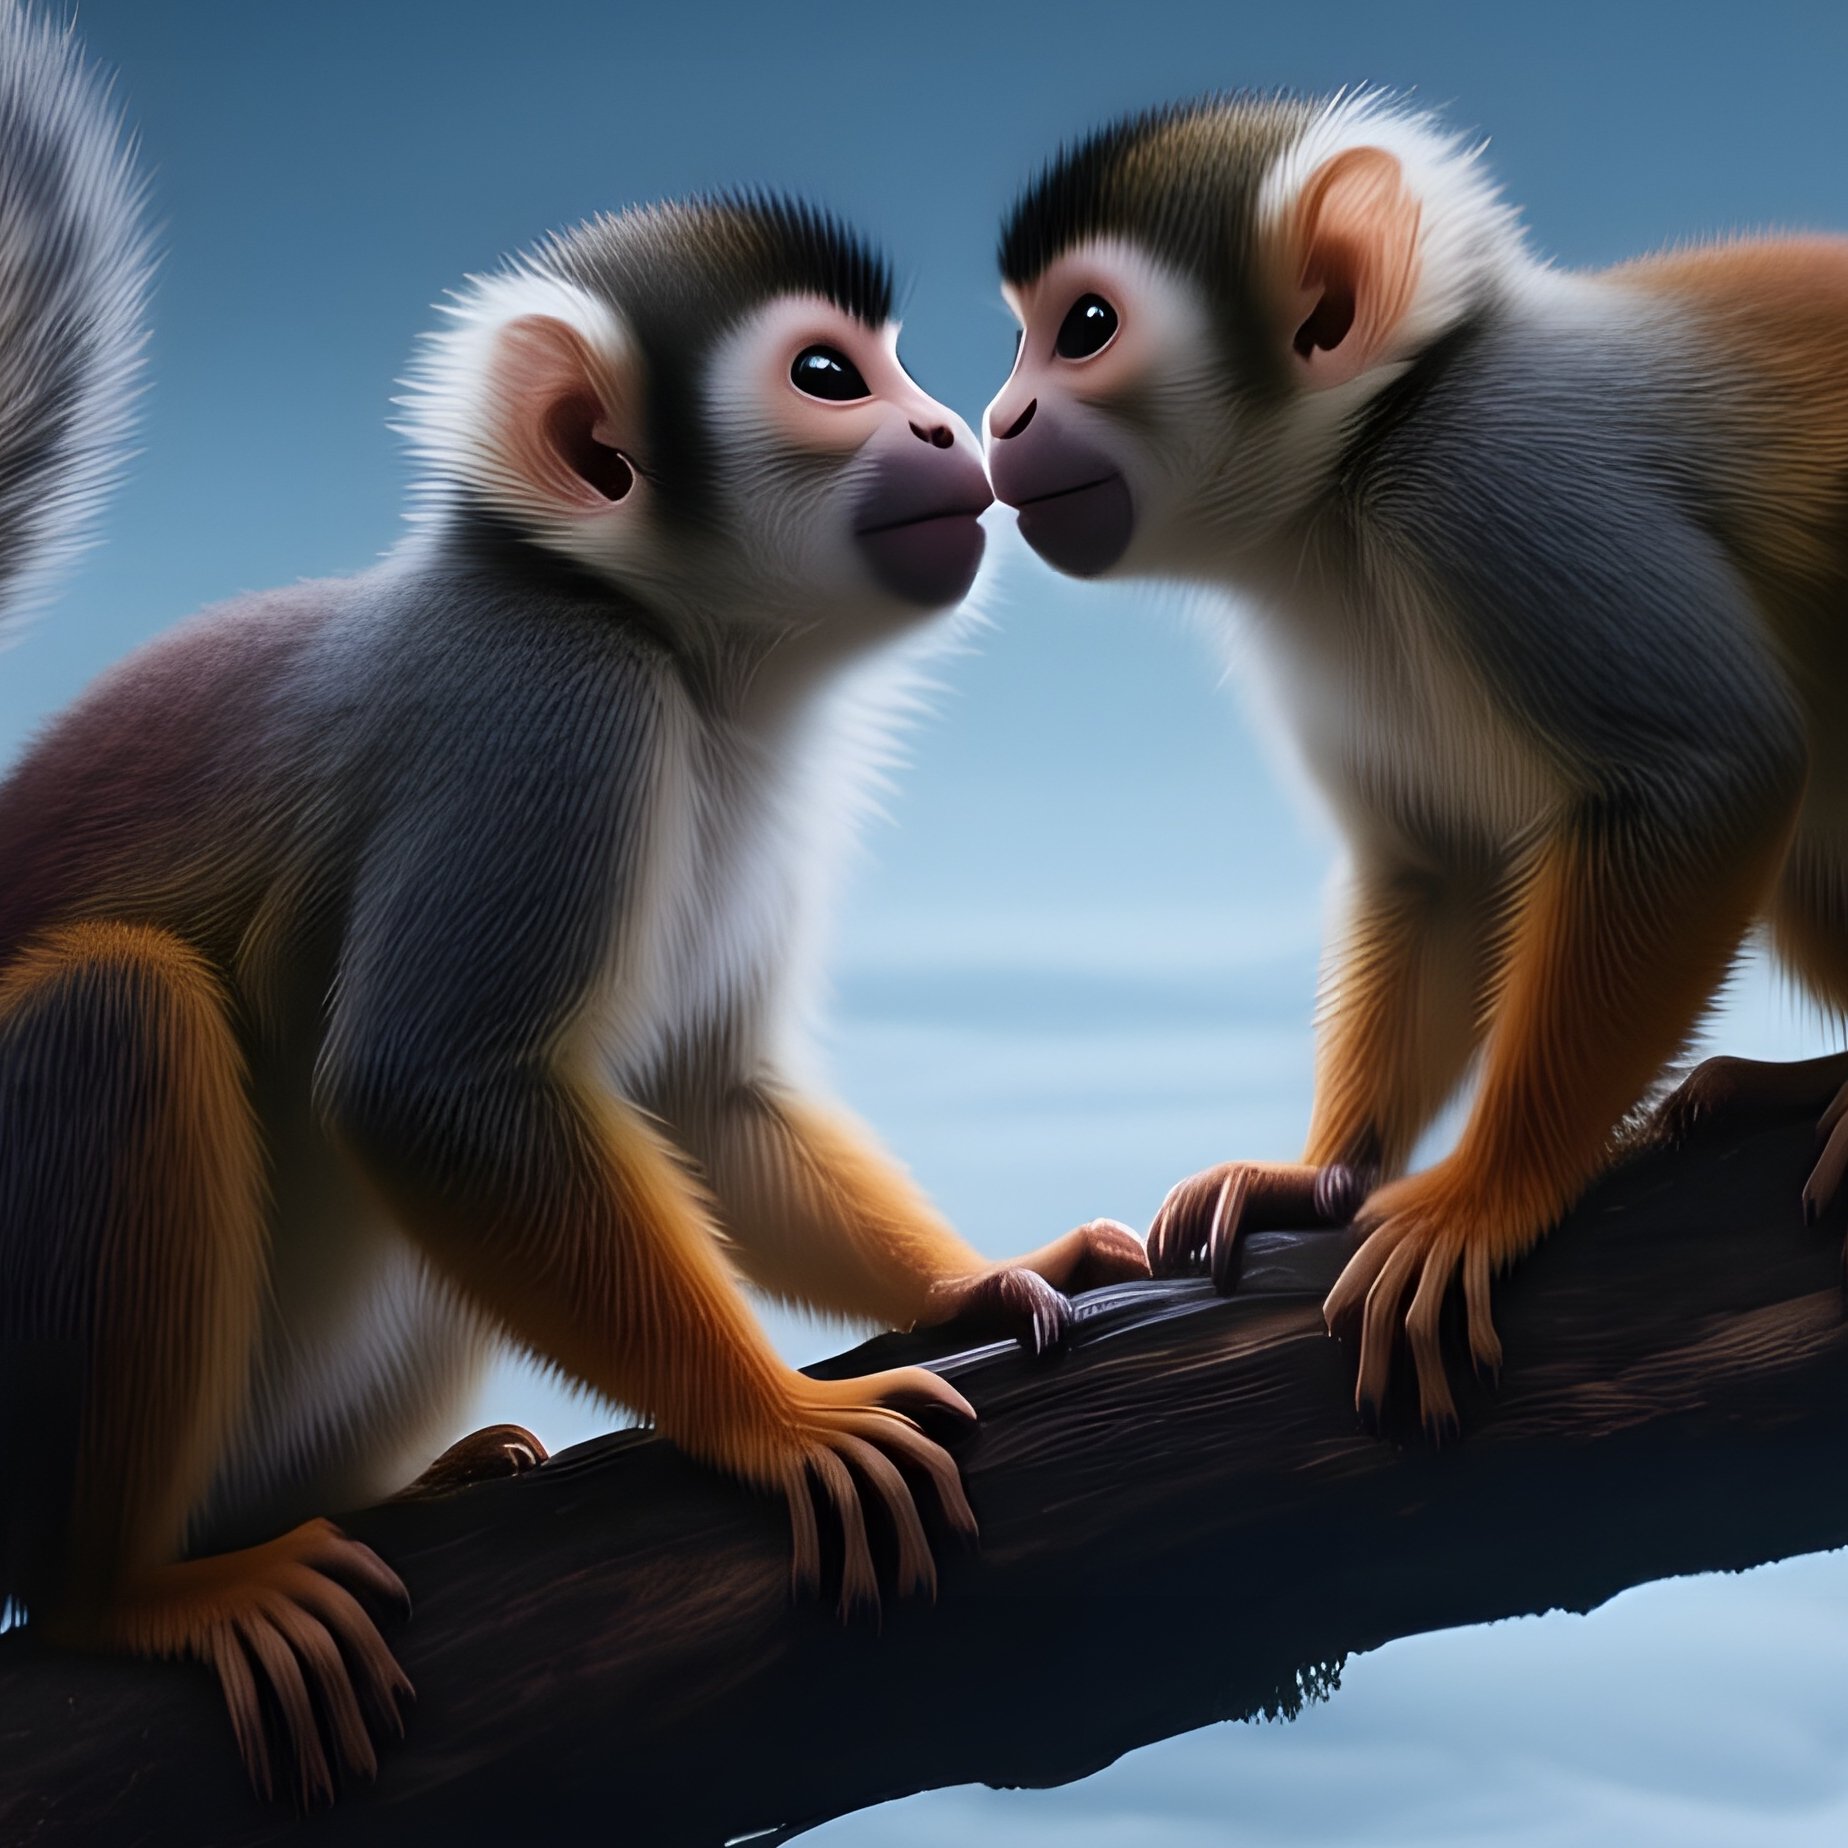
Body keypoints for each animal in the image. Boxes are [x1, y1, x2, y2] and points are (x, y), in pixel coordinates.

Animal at [0, 23, 1152, 1806]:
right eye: (832, 379)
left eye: (899, 366)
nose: (952, 429)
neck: (685, 653)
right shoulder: (552, 705)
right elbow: (431, 1093)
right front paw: (777, 1427)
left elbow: (701, 1092)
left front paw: (974, 1278)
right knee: (118, 1006)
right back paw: (120, 1593)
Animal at [981, 89, 1848, 1436]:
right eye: (1021, 337)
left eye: (1083, 330)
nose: (999, 418)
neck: (1355, 465)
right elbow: (1436, 861)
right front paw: (1320, 1176)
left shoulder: (1490, 488)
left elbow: (1713, 773)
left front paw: (1486, 1194)